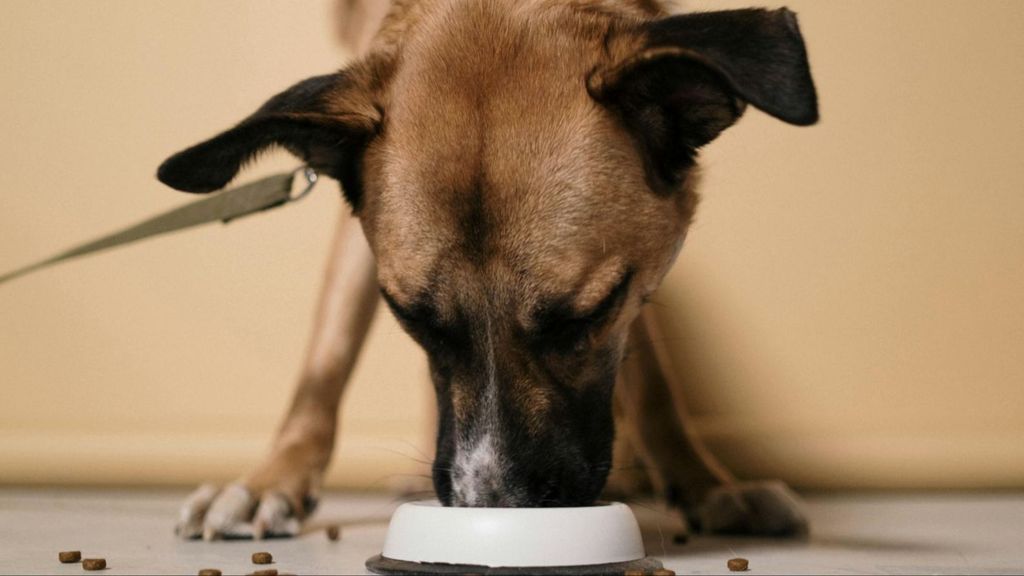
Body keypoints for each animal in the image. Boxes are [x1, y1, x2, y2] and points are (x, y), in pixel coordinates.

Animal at [157, 0, 815, 537]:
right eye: (412, 319)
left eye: (586, 317)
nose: (494, 507)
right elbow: (326, 361)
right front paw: (272, 480)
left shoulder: (637, 272)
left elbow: (652, 381)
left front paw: (706, 484)